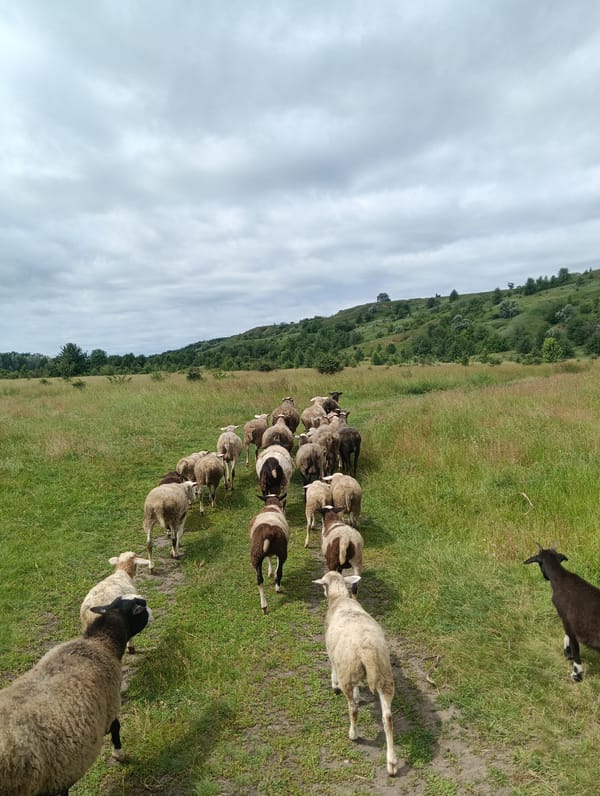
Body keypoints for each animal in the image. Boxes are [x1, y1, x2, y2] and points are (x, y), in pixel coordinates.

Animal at [0, 595, 152, 796]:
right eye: (141, 607)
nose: (148, 607)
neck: (100, 643)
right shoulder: (111, 702)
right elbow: (116, 728)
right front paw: (119, 754)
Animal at [312, 571, 398, 776]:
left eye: (323, 585)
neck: (340, 598)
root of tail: (367, 652)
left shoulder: (332, 654)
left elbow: (332, 667)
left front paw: (333, 684)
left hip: (348, 672)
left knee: (353, 709)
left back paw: (353, 734)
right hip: (384, 675)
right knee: (388, 718)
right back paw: (391, 763)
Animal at [524, 545, 600, 681]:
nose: (545, 577)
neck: (561, 579)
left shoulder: (566, 618)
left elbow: (573, 643)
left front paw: (576, 673)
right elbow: (567, 636)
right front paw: (567, 652)